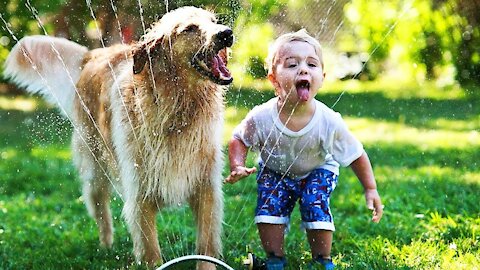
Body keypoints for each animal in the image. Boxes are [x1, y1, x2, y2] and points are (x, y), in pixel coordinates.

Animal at [3, 5, 232, 268]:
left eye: (214, 21)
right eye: (190, 28)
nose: (227, 33)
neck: (177, 109)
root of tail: (92, 55)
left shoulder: (206, 188)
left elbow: (206, 245)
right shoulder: (140, 195)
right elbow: (151, 253)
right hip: (95, 168)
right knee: (100, 210)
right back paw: (106, 246)